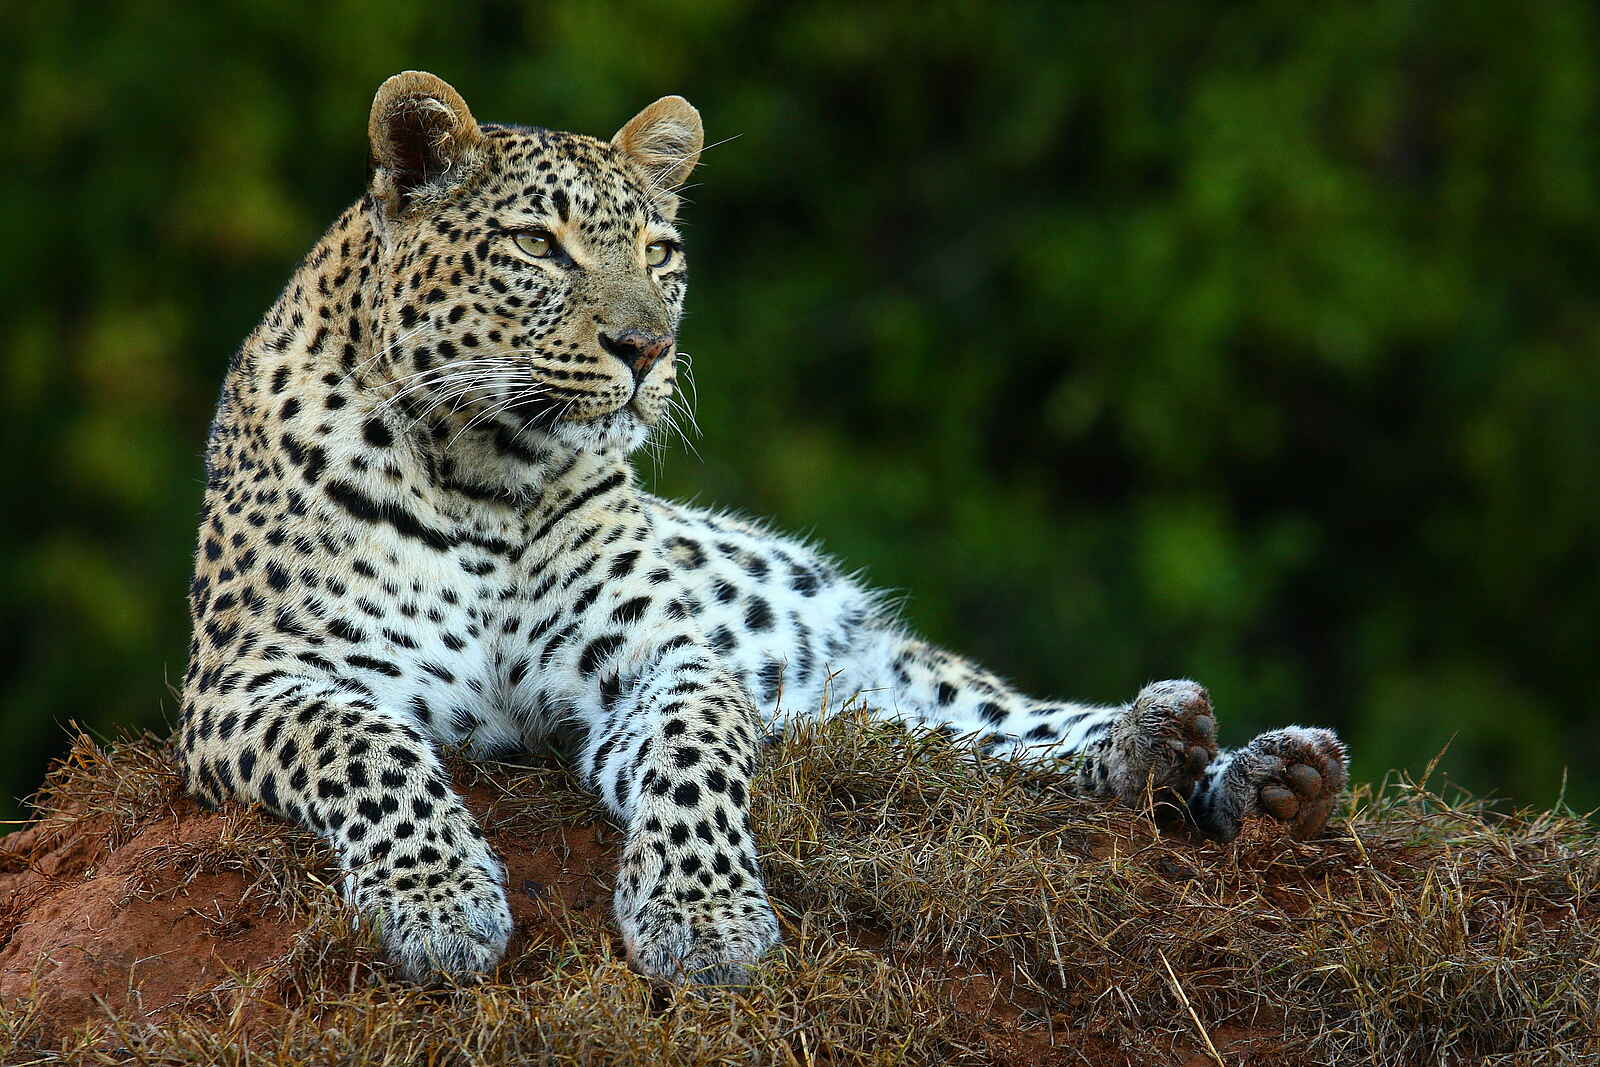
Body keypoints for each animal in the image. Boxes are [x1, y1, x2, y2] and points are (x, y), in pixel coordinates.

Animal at [178, 70, 1350, 987]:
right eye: (539, 245)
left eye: (660, 251)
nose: (646, 347)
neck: (485, 478)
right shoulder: (247, 683)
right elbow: (369, 747)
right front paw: (437, 903)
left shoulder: (668, 658)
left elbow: (693, 764)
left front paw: (704, 918)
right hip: (868, 720)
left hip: (916, 689)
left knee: (1023, 731)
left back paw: (1241, 766)